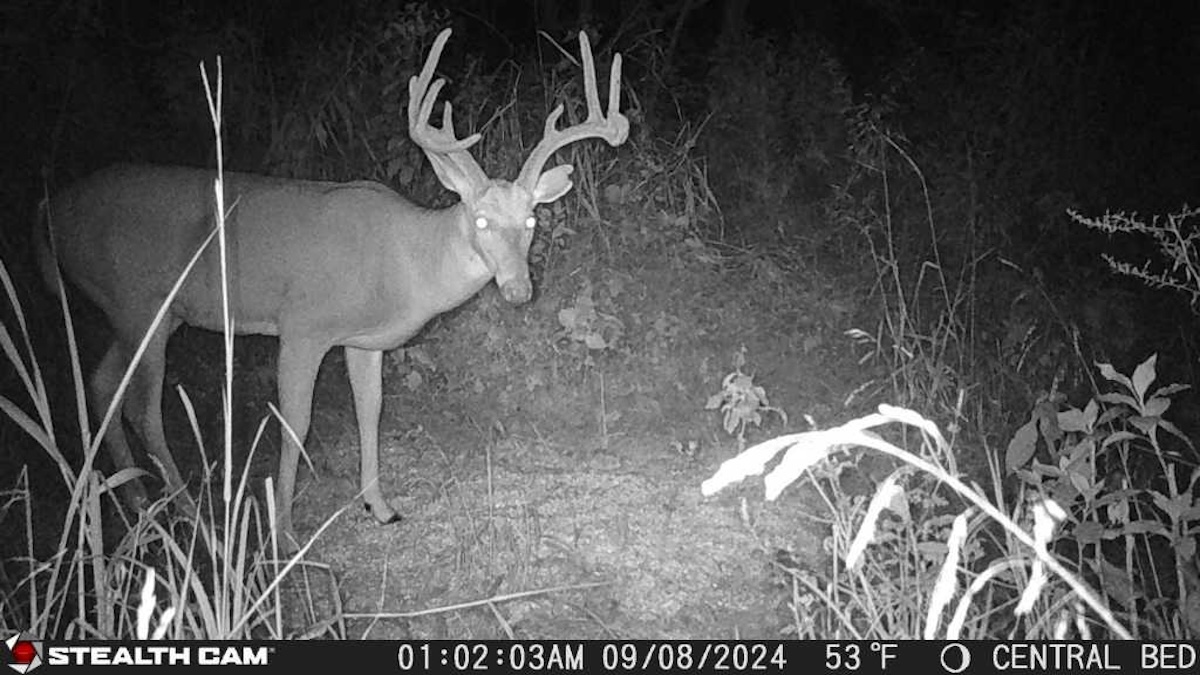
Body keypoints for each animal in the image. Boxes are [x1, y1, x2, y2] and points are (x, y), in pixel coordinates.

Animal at [35, 28, 628, 544]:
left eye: (531, 220)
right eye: (480, 220)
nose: (518, 290)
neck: (403, 263)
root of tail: (51, 212)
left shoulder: (363, 341)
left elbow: (373, 410)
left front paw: (381, 507)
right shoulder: (303, 326)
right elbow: (295, 421)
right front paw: (284, 530)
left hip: (144, 312)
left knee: (102, 383)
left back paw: (135, 501)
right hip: (141, 304)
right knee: (141, 404)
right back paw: (186, 510)